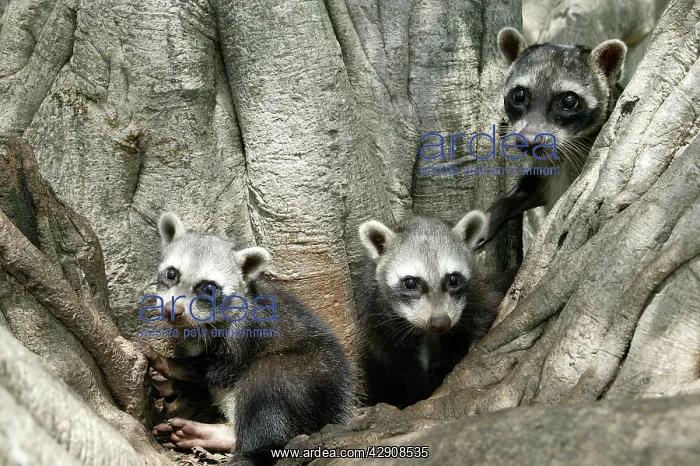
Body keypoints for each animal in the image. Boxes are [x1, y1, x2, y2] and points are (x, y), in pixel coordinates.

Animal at [138, 212, 354, 465]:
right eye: (172, 273)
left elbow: (219, 369)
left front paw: (175, 366)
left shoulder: (251, 330)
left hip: (311, 375)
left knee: (265, 382)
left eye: (208, 288)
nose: (173, 311)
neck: (203, 324)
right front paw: (171, 385)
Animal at [356, 210, 507, 409]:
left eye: (453, 279)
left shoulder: (478, 299)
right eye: (410, 283)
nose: (440, 322)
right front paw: (419, 389)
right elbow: (407, 366)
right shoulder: (383, 322)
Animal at [476, 27, 627, 247]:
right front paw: (492, 214)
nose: (529, 141)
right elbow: (528, 188)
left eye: (569, 101)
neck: (563, 154)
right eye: (519, 95)